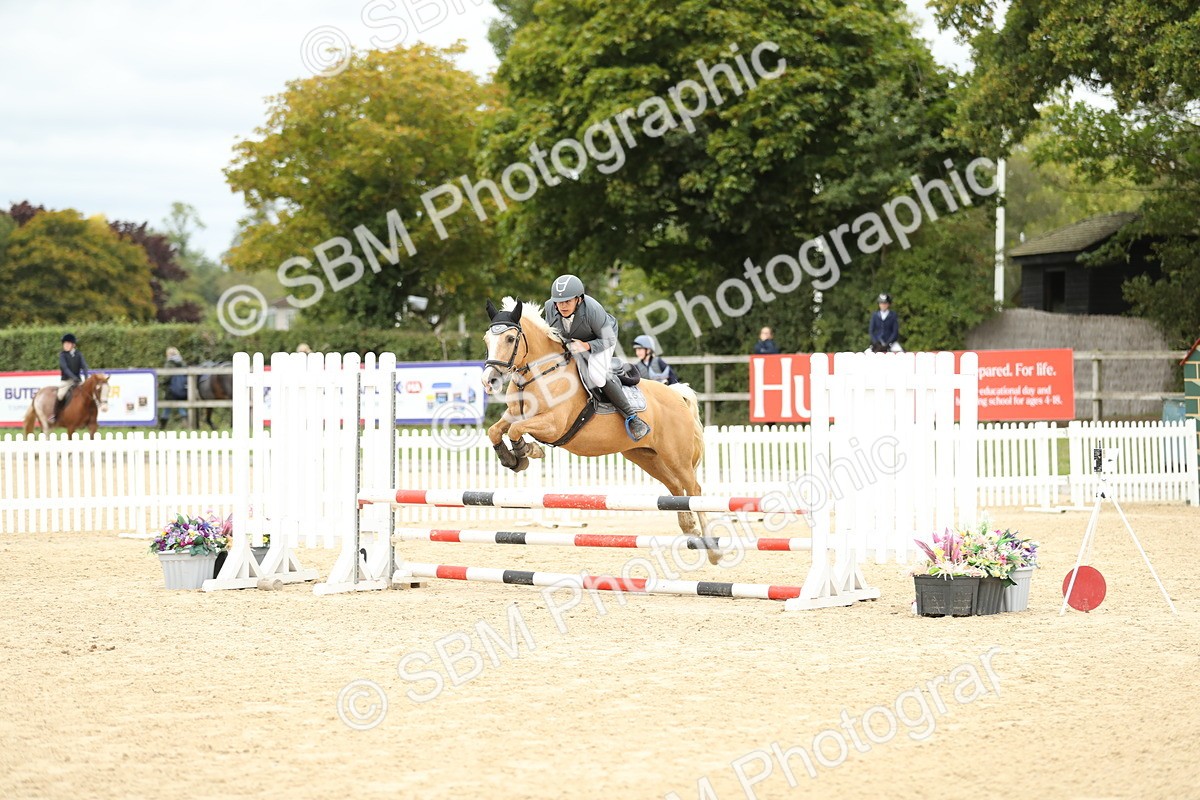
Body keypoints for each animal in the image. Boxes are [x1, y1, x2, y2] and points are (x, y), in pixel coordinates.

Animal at [481, 298, 722, 564]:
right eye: (486, 339)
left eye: (510, 338)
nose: (489, 381)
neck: (541, 373)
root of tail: (677, 395)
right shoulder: (515, 414)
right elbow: (496, 431)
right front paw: (512, 459)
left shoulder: (553, 424)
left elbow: (515, 430)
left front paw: (528, 451)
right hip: (646, 456)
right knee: (676, 489)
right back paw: (689, 529)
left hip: (676, 457)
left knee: (694, 490)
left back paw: (713, 550)